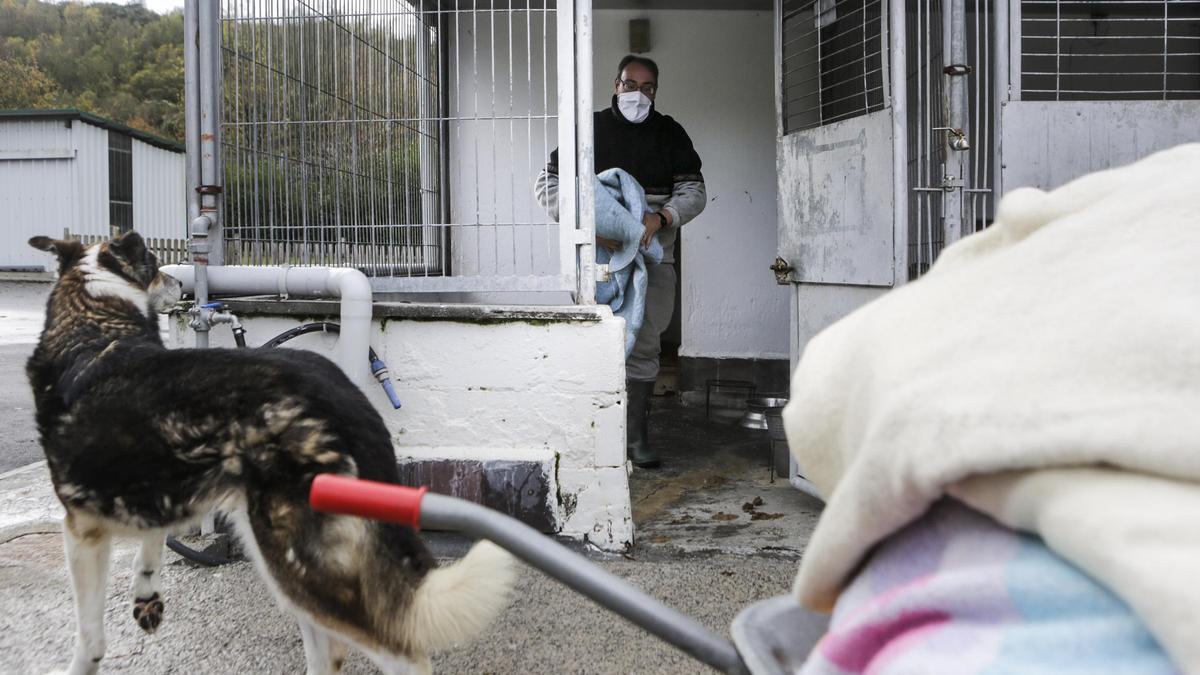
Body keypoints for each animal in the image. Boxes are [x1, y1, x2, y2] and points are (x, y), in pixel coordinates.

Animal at [28, 228, 513, 667]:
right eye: (153, 265)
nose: (179, 285)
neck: (94, 320)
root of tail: (344, 397)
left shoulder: (81, 528)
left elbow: (90, 639)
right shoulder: (155, 493)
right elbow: (150, 546)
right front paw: (146, 596)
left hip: (289, 557)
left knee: (397, 647)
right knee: (332, 651)